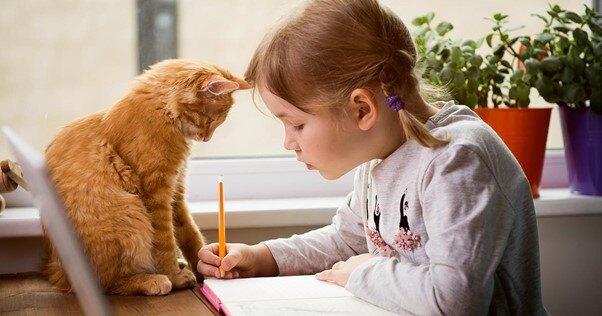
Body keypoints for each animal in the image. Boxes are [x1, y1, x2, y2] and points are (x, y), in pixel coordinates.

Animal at [42, 59, 248, 296]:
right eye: (211, 119)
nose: (206, 138)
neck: (164, 114)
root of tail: (59, 274)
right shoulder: (156, 194)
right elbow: (165, 242)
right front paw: (174, 276)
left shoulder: (175, 192)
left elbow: (189, 234)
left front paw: (206, 265)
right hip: (130, 213)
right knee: (108, 283)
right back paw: (152, 280)